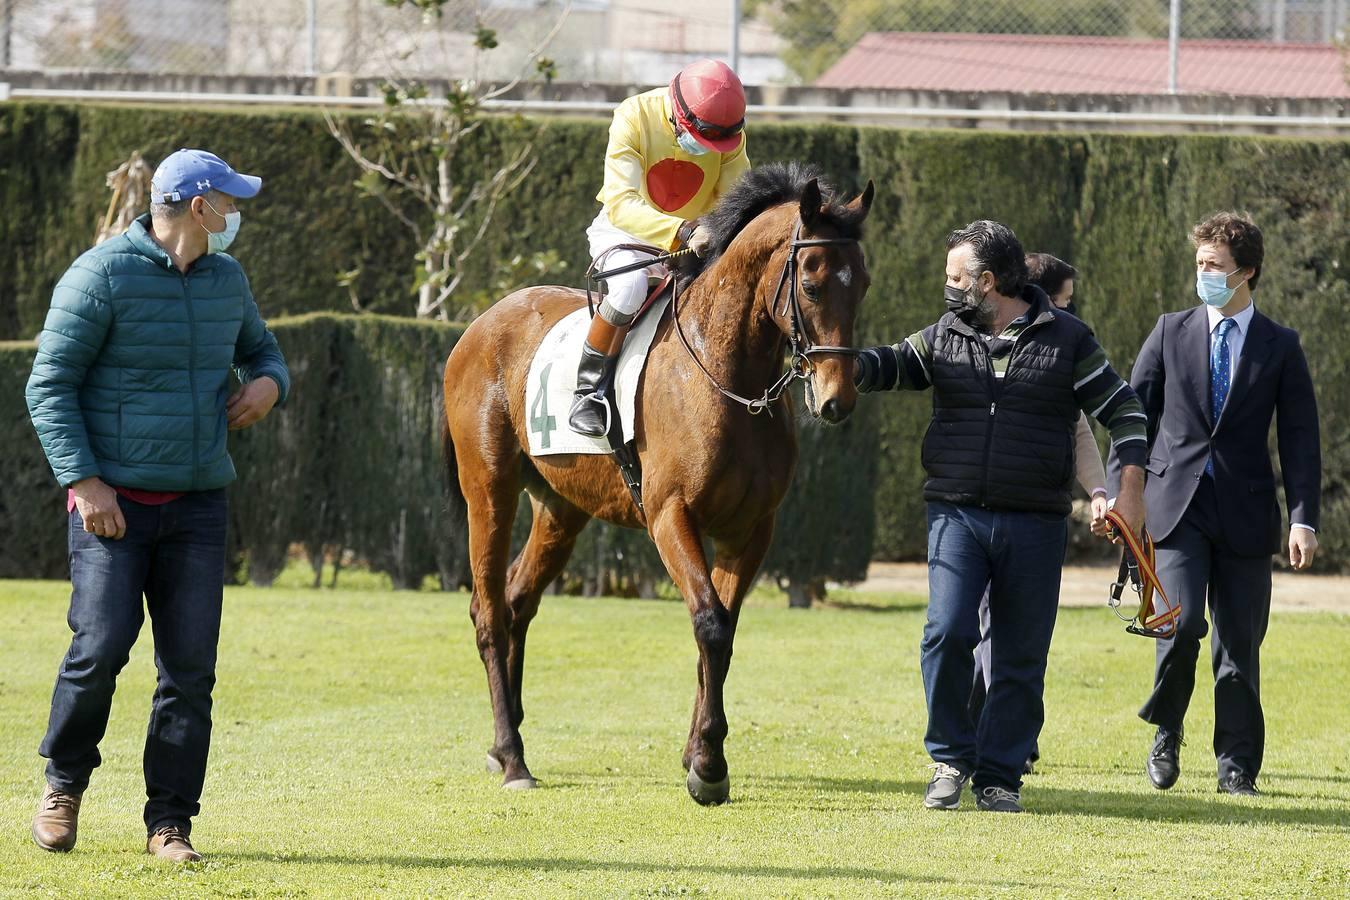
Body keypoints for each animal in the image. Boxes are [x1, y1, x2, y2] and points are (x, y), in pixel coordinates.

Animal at [442, 163, 874, 809]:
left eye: (862, 284)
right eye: (814, 284)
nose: (836, 399)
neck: (726, 375)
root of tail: (482, 324)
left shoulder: (750, 530)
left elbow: (722, 629)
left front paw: (699, 753)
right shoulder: (671, 516)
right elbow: (710, 623)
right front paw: (709, 765)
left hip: (561, 510)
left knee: (519, 600)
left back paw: (506, 739)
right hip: (488, 491)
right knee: (489, 610)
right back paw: (514, 757)